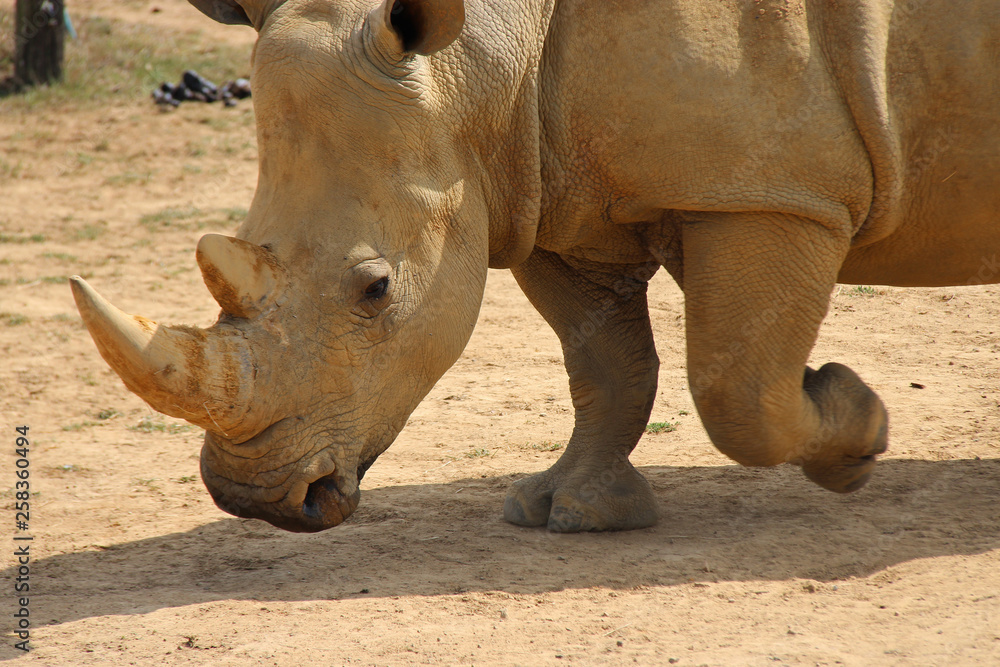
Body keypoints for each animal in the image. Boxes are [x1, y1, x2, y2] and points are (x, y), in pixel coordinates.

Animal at [71, 0, 999, 532]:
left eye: (376, 289)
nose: (254, 498)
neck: (481, 57)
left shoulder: (773, 190)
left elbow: (736, 390)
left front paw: (858, 428)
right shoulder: (541, 186)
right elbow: (607, 364)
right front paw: (572, 511)